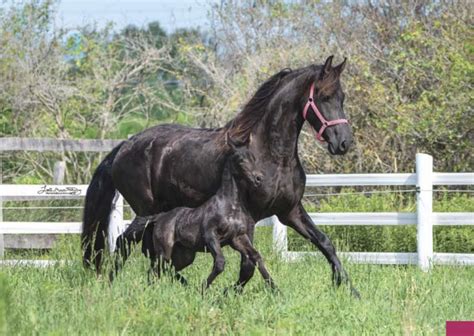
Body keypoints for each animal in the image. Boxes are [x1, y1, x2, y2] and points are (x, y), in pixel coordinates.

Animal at [146, 135, 276, 290]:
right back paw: (151, 289)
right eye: (240, 159)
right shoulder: (211, 235)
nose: (258, 179)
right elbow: (220, 263)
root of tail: (160, 218)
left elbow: (256, 257)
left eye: (253, 158)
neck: (230, 207)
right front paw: (203, 289)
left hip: (185, 255)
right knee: (155, 269)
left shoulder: (238, 238)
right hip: (164, 252)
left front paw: (276, 289)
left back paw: (184, 285)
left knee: (169, 269)